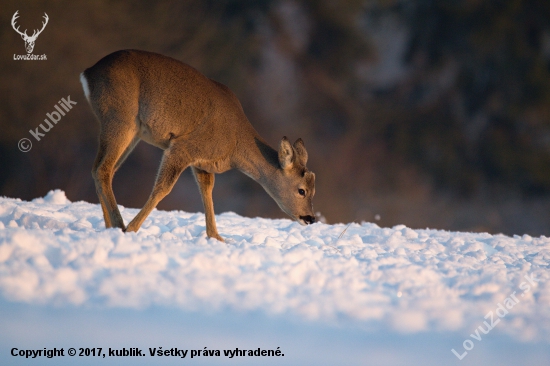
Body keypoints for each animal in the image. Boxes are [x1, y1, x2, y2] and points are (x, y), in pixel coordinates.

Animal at [80, 50, 316, 242]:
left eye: (314, 190)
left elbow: (207, 191)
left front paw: (217, 237)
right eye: (301, 190)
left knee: (101, 169)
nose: (311, 218)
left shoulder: (203, 162)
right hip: (120, 117)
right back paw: (120, 225)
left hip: (131, 131)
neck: (234, 146)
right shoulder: (182, 146)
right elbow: (163, 188)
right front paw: (132, 229)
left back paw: (110, 227)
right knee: (103, 169)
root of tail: (88, 73)